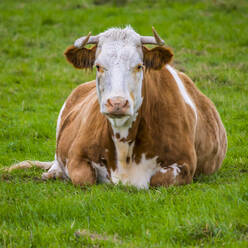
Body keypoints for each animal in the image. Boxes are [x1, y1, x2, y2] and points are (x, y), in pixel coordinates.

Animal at [6, 27, 227, 189]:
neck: (124, 143)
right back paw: (52, 173)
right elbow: (83, 177)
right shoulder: (77, 156)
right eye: (98, 66)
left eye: (139, 66)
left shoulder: (184, 165)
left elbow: (158, 180)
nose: (117, 103)